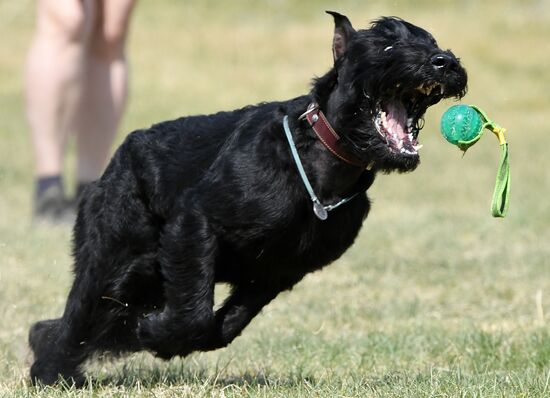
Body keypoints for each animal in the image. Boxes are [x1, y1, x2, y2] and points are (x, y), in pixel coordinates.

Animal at [29, 13, 466, 386]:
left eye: (431, 42)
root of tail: (113, 164)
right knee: (75, 321)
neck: (319, 159)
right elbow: (193, 314)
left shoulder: (277, 272)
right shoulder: (196, 222)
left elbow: (223, 326)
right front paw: (154, 331)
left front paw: (157, 335)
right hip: (112, 263)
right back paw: (51, 372)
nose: (444, 62)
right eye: (386, 44)